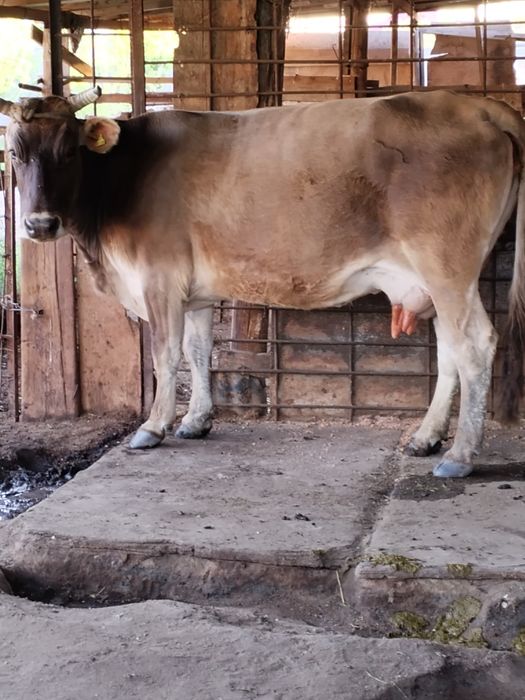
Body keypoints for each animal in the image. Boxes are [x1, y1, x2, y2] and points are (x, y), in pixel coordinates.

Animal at [1, 87, 524, 478]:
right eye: (14, 151)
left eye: (69, 150)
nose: (40, 225)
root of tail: (477, 105)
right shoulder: (193, 292)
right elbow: (197, 351)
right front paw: (196, 420)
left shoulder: (158, 280)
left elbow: (165, 356)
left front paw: (153, 426)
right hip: (436, 280)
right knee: (450, 349)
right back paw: (426, 437)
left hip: (447, 266)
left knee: (475, 343)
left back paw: (460, 455)